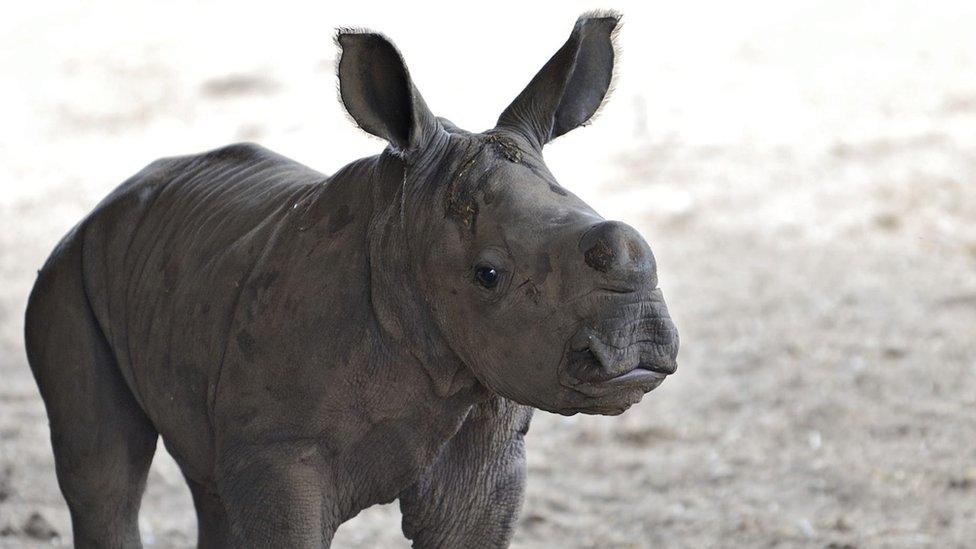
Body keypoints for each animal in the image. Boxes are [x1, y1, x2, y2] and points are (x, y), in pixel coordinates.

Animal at [24, 10, 678, 548]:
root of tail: (108, 203)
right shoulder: (279, 450)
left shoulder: (486, 429)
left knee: (203, 478)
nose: (639, 342)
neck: (403, 232)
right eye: (487, 275)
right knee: (104, 471)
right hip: (68, 271)